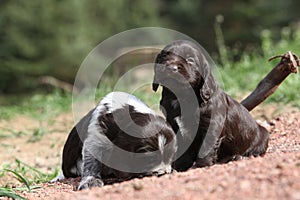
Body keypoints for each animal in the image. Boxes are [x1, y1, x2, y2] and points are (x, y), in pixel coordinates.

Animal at [154, 39, 268, 171]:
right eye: (164, 57)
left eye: (190, 59)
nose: (171, 68)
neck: (181, 96)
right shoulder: (174, 124)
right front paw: (181, 165)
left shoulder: (211, 124)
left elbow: (206, 145)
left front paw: (202, 164)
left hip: (264, 135)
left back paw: (237, 157)